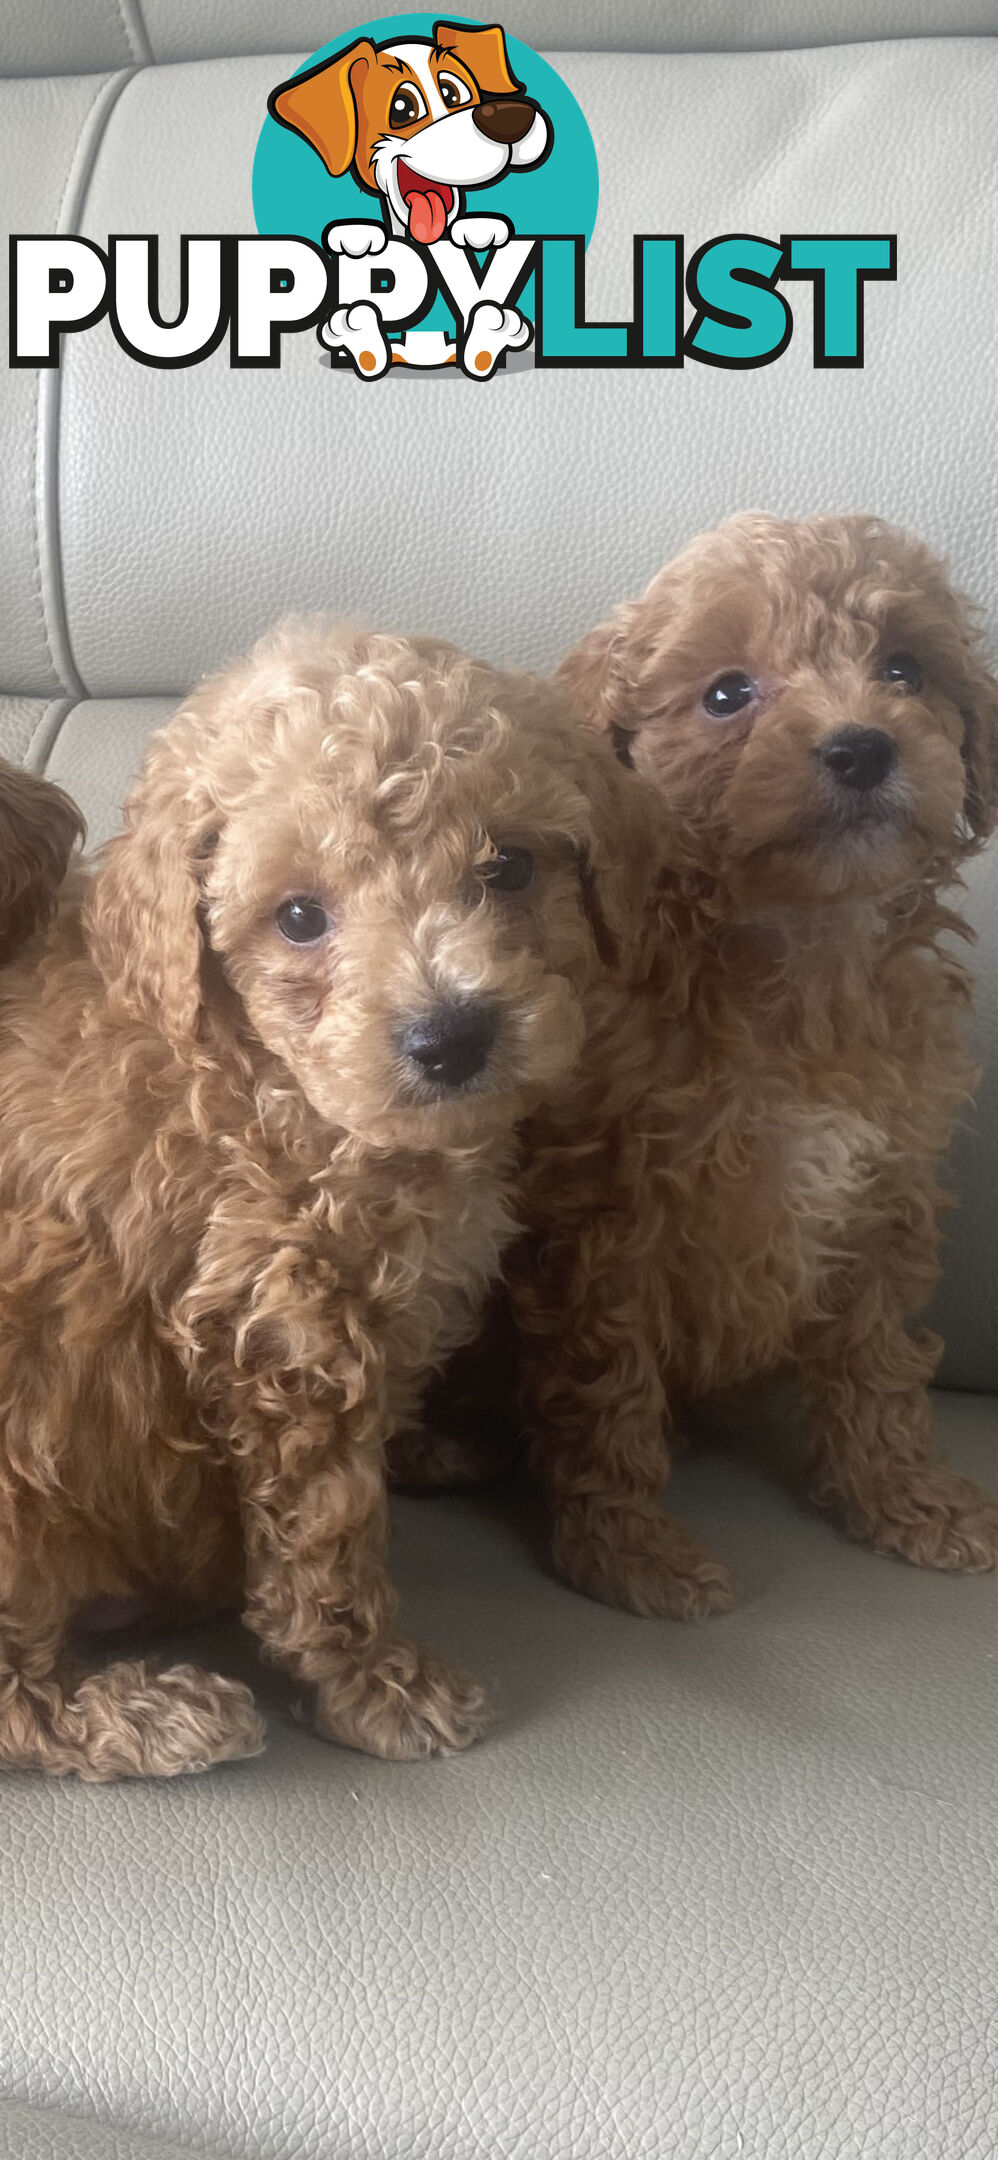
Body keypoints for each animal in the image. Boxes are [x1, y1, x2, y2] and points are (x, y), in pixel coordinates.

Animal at [507, 514, 998, 1615]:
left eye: (904, 670)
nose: (861, 745)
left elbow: (876, 1364)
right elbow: (608, 1392)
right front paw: (629, 1550)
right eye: (727, 694)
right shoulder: (613, 1225)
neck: (799, 952)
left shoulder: (881, 1197)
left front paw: (904, 1497)